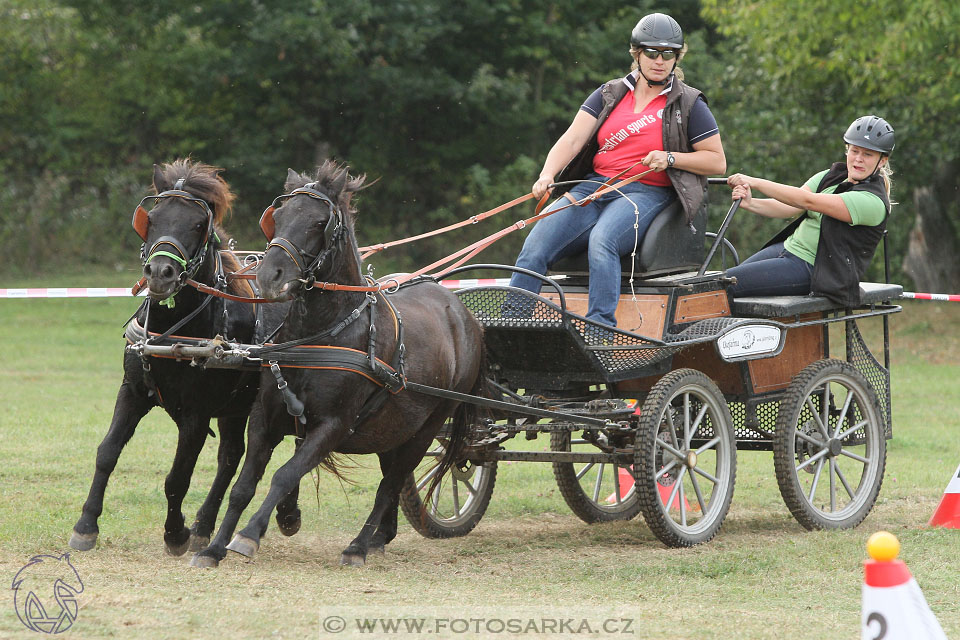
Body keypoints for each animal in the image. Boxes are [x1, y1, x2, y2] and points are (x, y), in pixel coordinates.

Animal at [71, 159, 298, 556]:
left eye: (197, 224)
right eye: (151, 218)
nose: (160, 272)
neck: (175, 331)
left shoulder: (195, 414)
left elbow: (177, 478)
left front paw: (175, 533)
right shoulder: (132, 392)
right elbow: (107, 453)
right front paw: (86, 525)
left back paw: (285, 514)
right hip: (235, 407)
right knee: (231, 456)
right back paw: (205, 525)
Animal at [193, 162, 488, 568]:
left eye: (320, 223)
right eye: (277, 217)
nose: (269, 276)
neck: (319, 335)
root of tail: (464, 314)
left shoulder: (333, 425)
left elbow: (284, 476)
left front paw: (248, 535)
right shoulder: (264, 418)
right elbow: (243, 485)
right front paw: (213, 548)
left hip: (427, 428)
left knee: (390, 485)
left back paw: (358, 546)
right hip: (396, 427)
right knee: (391, 478)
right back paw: (379, 537)